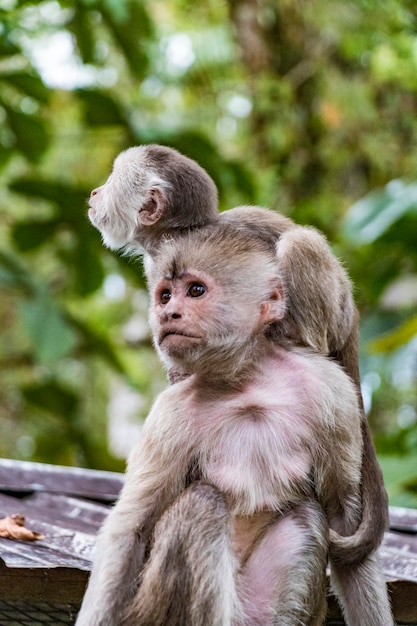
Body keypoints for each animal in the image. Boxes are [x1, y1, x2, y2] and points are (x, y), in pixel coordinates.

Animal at [75, 225, 394, 624]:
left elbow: (342, 514)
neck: (247, 382)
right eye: (165, 296)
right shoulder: (169, 414)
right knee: (203, 504)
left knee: (307, 516)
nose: (168, 313)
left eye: (196, 291)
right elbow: (131, 529)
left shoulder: (333, 393)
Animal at [88, 144, 390, 564]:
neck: (178, 234)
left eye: (112, 179)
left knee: (298, 244)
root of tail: (354, 319)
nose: (95, 192)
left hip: (336, 313)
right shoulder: (159, 272)